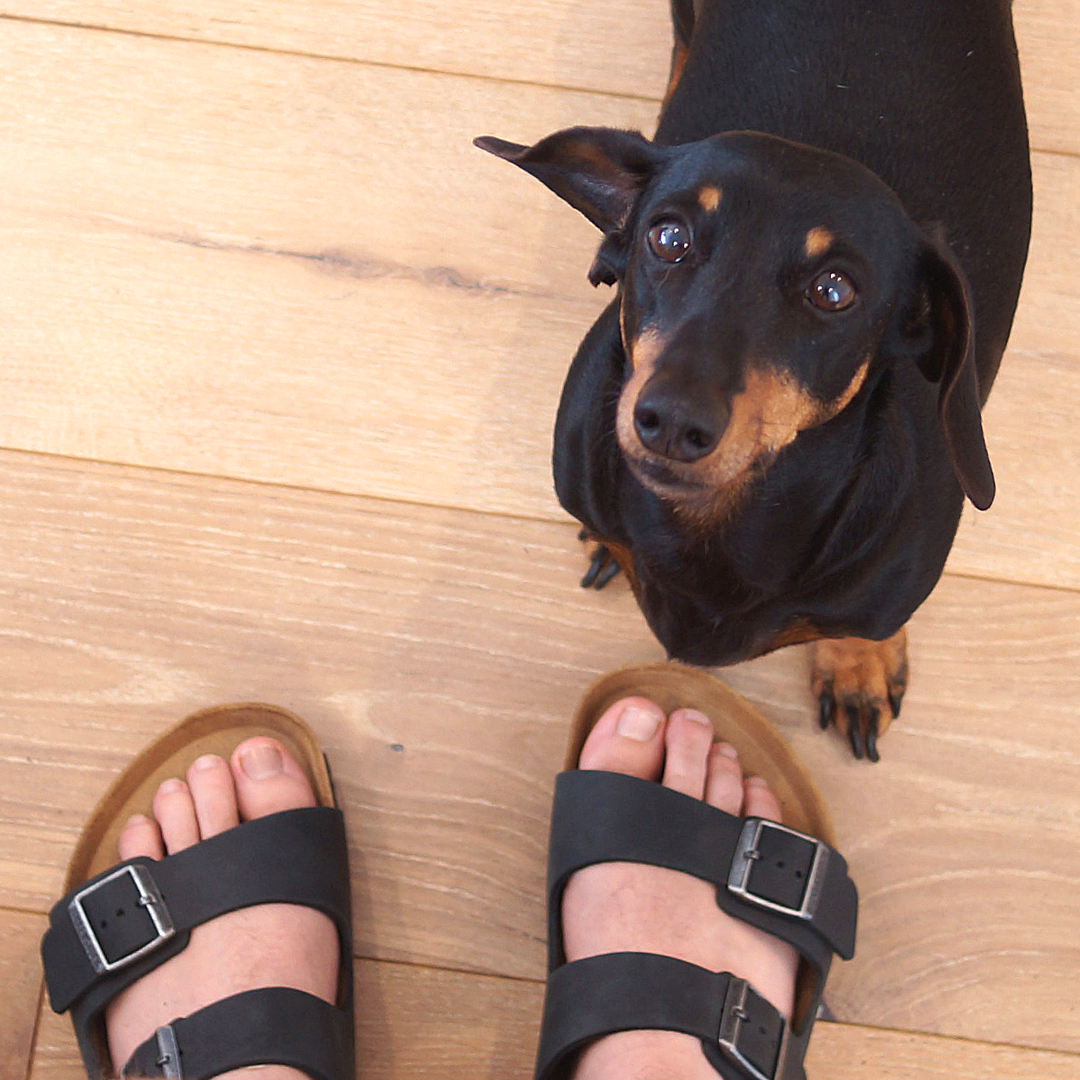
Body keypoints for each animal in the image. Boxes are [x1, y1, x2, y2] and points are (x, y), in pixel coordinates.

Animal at [479, 0, 1028, 760]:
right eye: (667, 237)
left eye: (835, 289)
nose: (673, 421)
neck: (713, 527)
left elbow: (868, 624)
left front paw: (858, 666)